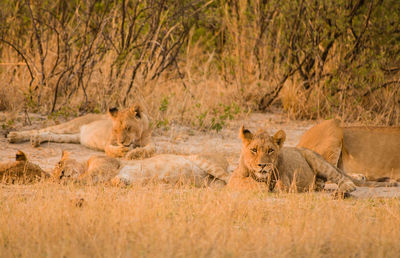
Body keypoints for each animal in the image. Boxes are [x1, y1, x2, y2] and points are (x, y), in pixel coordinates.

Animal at [8, 104, 155, 158]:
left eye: (128, 128)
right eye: (116, 130)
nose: (121, 142)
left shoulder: (149, 141)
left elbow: (150, 149)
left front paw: (135, 152)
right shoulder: (108, 142)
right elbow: (110, 149)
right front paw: (122, 151)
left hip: (71, 136)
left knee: (50, 134)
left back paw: (36, 140)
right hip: (71, 125)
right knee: (40, 129)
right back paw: (14, 136)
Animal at [227, 125, 392, 194]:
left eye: (271, 150)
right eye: (254, 150)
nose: (262, 165)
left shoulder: (287, 182)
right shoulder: (233, 181)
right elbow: (247, 182)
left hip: (320, 163)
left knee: (341, 178)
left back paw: (346, 188)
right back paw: (317, 185)